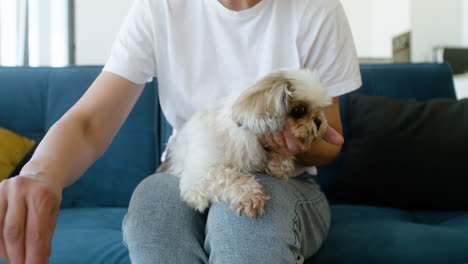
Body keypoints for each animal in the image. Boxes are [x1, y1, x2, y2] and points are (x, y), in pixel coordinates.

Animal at [159, 69, 330, 218]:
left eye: (320, 110)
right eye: (299, 111)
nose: (318, 121)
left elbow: (282, 164)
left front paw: (277, 163)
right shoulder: (197, 177)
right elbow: (228, 177)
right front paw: (250, 195)